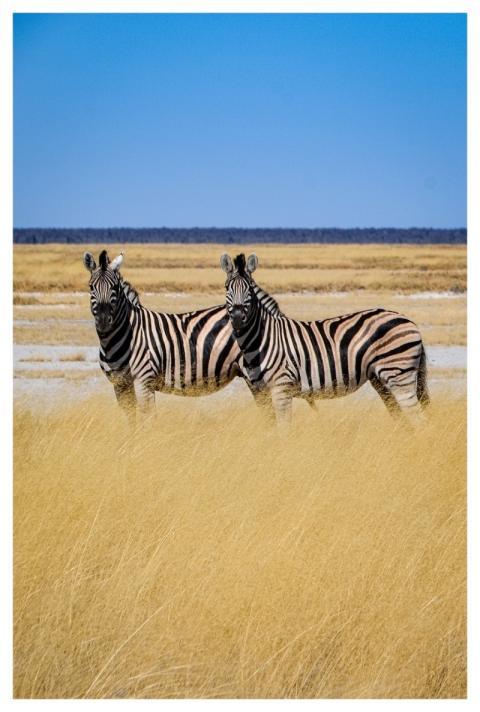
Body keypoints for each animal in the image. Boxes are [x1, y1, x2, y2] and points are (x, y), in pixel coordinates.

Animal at [83, 249, 280, 421]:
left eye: (114, 287)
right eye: (91, 287)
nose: (103, 320)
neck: (121, 337)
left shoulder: (144, 380)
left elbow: (148, 418)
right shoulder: (120, 384)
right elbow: (131, 419)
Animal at [220, 252, 430, 425]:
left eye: (249, 290)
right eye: (227, 288)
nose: (237, 318)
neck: (262, 339)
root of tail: (410, 322)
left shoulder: (282, 386)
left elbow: (283, 428)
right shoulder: (261, 391)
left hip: (399, 374)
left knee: (418, 419)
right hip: (380, 379)